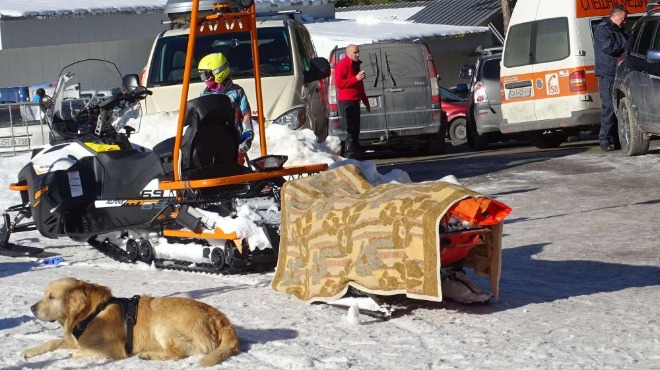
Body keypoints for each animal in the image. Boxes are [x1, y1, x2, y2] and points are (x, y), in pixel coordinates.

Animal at [22, 276, 240, 366]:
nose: (31, 308)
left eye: (51, 297)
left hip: (161, 324)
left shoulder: (113, 350)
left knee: (177, 354)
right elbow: (52, 342)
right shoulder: (76, 339)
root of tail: (220, 318)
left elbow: (76, 353)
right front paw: (29, 351)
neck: (91, 312)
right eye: (44, 294)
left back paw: (148, 355)